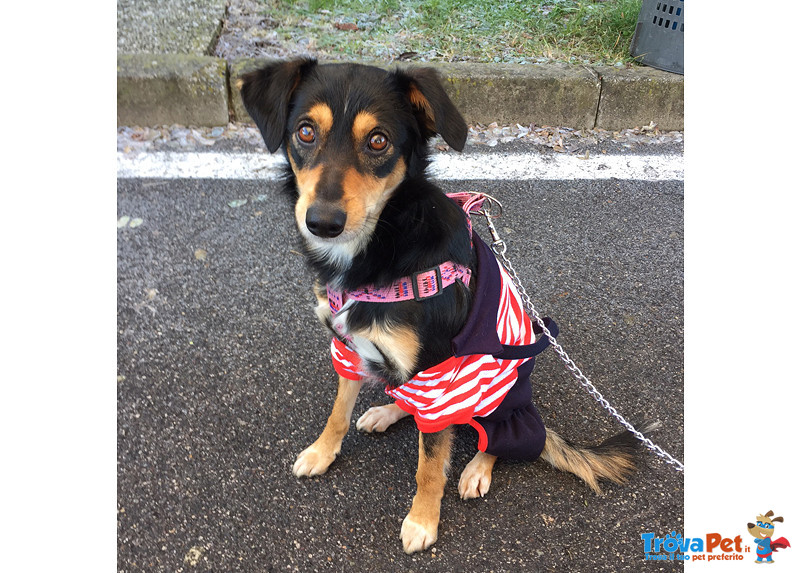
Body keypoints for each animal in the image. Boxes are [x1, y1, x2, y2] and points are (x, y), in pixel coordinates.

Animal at [239, 59, 644, 556]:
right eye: (305, 131)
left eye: (379, 141)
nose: (323, 223)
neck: (381, 247)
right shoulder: (348, 349)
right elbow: (338, 412)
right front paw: (321, 451)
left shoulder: (437, 371)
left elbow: (429, 465)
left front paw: (422, 520)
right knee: (415, 405)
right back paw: (387, 411)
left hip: (498, 396)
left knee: (499, 437)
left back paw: (477, 469)